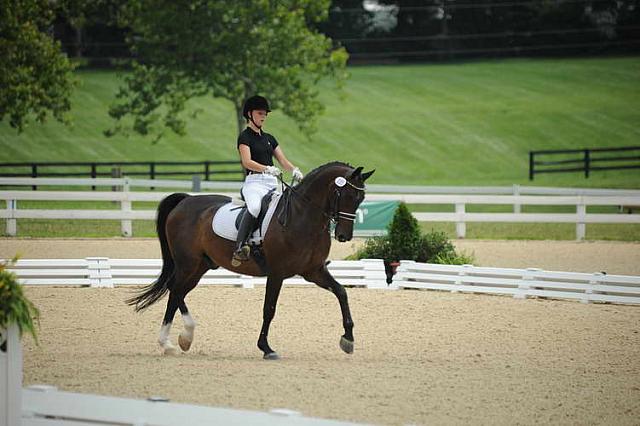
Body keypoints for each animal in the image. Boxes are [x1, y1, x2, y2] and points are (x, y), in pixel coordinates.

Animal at [127, 162, 372, 360]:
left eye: (360, 199)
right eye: (345, 195)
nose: (344, 236)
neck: (302, 216)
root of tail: (185, 201)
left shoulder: (314, 271)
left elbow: (341, 292)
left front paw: (348, 339)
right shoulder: (277, 273)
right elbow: (269, 309)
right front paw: (266, 348)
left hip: (200, 266)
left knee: (177, 292)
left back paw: (175, 342)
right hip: (188, 263)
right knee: (174, 289)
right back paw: (178, 338)